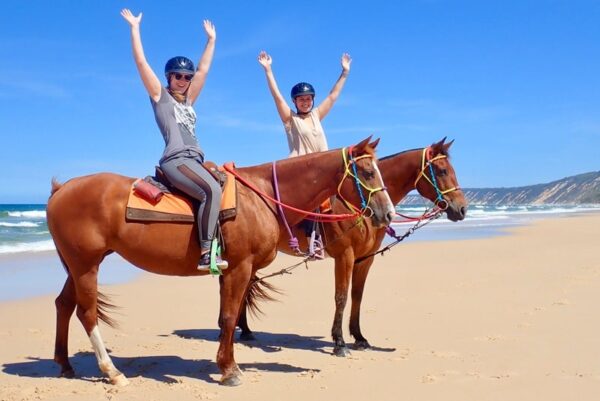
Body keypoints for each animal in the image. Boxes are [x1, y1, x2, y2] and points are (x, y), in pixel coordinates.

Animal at [45, 137, 394, 384]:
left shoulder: (235, 271)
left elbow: (231, 316)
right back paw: (111, 371)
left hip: (77, 265)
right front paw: (229, 370)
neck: (262, 197)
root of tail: (61, 189)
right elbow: (228, 317)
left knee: (63, 305)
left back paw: (65, 364)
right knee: (86, 312)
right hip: (86, 265)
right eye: (367, 172)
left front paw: (227, 362)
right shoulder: (240, 267)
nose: (387, 214)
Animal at [236, 137, 468, 354]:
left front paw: (359, 337)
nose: (462, 209)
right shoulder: (344, 255)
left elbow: (357, 296)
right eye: (442, 170)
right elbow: (341, 296)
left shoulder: (364, 259)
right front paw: (339, 342)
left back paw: (245, 330)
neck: (359, 206)